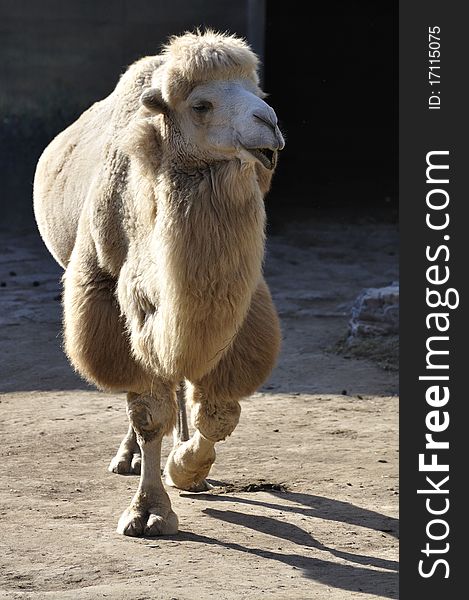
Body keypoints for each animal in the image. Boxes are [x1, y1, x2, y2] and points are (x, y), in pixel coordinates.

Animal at [33, 29, 282, 536]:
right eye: (201, 105)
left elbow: (219, 410)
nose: (269, 124)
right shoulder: (108, 297)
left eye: (258, 93)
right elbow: (149, 412)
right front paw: (148, 511)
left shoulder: (240, 306)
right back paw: (127, 458)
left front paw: (187, 467)